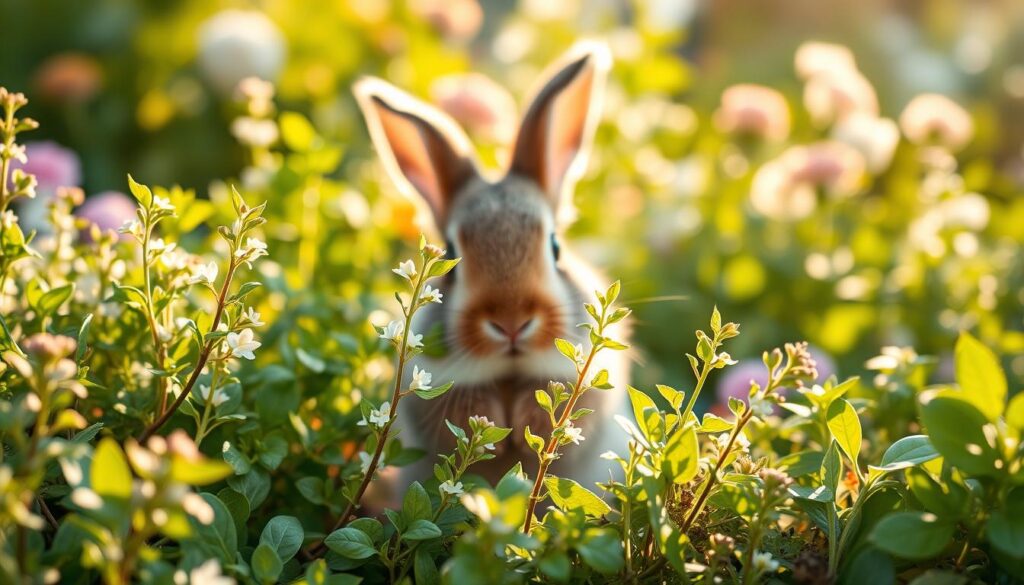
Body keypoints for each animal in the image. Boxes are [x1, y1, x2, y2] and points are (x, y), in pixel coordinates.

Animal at [354, 42, 630, 491]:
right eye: (450, 255)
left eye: (555, 247)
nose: (512, 322)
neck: (508, 372)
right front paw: (498, 433)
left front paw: (524, 426)